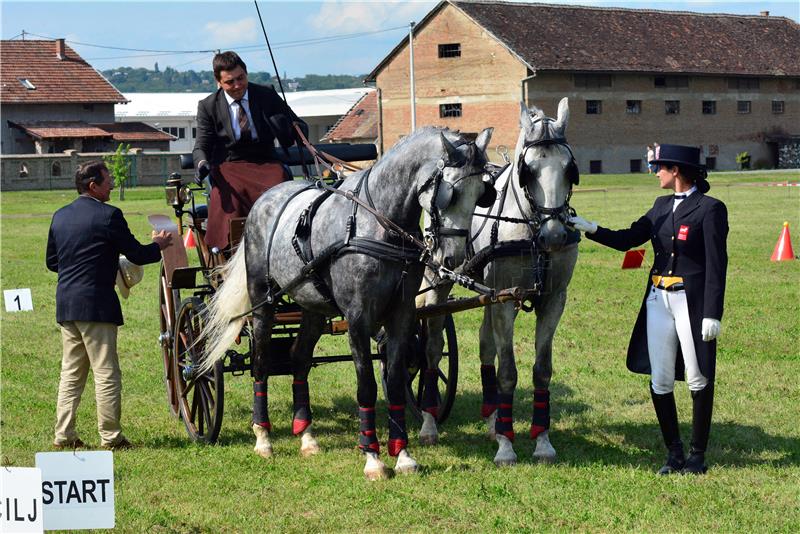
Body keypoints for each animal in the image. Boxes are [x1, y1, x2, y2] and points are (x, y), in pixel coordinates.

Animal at [198, 129, 494, 482]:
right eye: (450, 193)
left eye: (481, 195)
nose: (453, 260)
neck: (378, 223)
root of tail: (264, 199)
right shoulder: (358, 318)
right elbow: (366, 385)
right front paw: (373, 458)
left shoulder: (401, 315)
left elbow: (395, 382)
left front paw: (403, 455)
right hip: (262, 301)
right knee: (261, 363)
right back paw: (263, 437)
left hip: (312, 306)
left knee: (299, 359)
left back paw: (307, 435)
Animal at [416, 98, 580, 466]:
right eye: (528, 170)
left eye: (569, 169)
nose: (555, 235)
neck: (530, 230)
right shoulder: (505, 300)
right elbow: (508, 371)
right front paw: (507, 446)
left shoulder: (552, 299)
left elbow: (541, 369)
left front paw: (542, 441)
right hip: (438, 277)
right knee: (431, 349)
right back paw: (429, 423)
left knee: (485, 345)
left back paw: (493, 419)